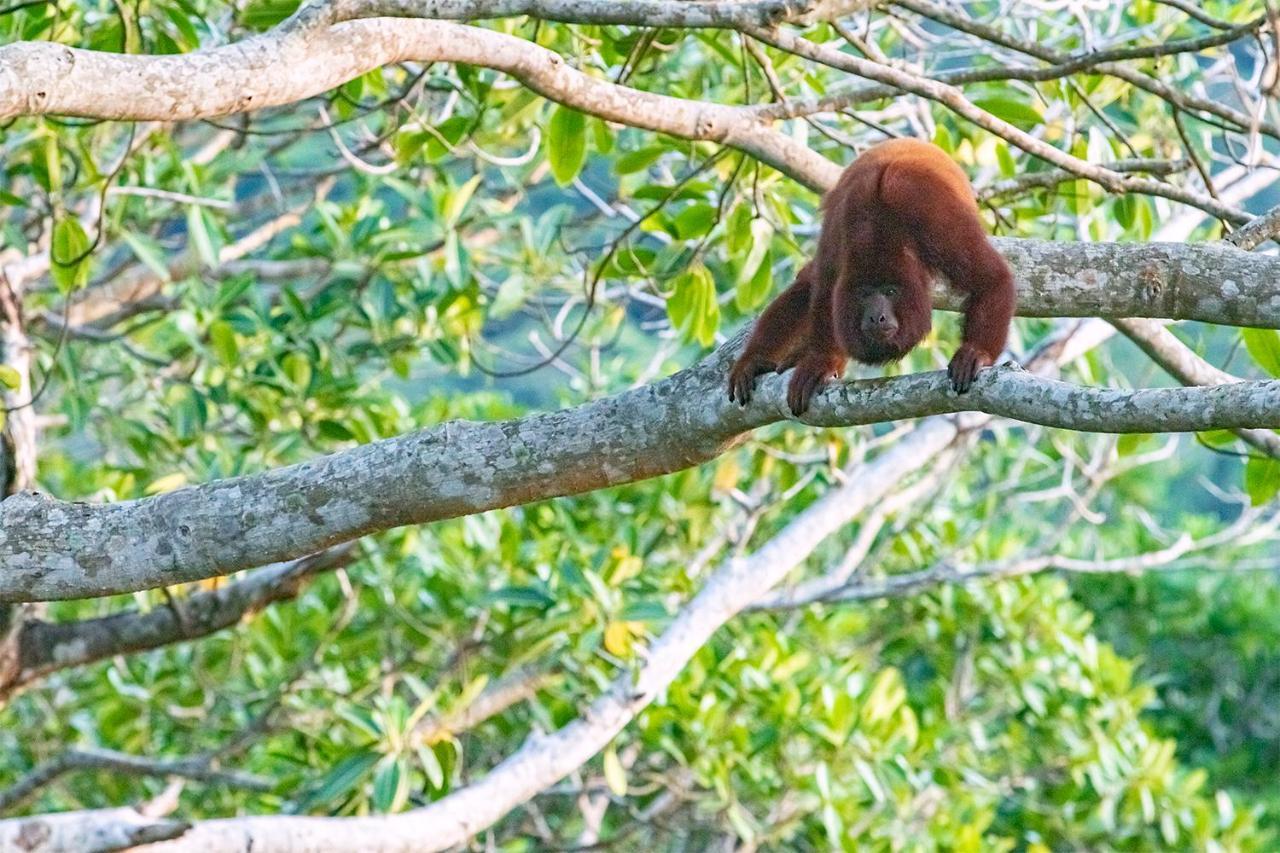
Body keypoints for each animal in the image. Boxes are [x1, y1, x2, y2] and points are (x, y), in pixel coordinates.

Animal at [727, 137, 1013, 412]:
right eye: (865, 294)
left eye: (890, 291)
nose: (877, 317)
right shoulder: (839, 235)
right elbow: (824, 294)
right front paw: (821, 362)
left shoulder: (935, 220)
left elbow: (991, 278)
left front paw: (976, 352)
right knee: (807, 286)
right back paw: (755, 359)